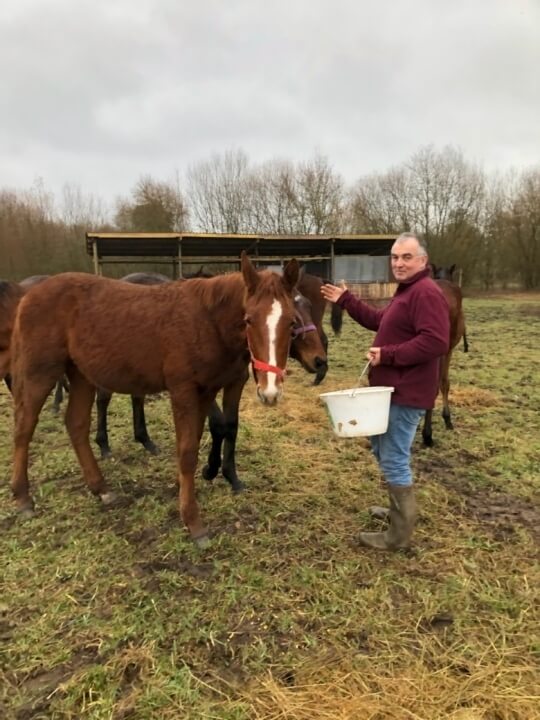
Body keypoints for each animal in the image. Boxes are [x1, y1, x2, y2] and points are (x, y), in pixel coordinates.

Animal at [9, 256, 300, 544]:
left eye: (292, 323)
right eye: (248, 319)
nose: (270, 392)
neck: (206, 320)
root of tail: (28, 295)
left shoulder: (206, 391)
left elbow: (195, 441)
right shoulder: (183, 390)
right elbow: (187, 452)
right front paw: (193, 523)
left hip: (80, 374)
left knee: (76, 425)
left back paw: (101, 489)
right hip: (41, 373)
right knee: (24, 427)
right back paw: (23, 499)